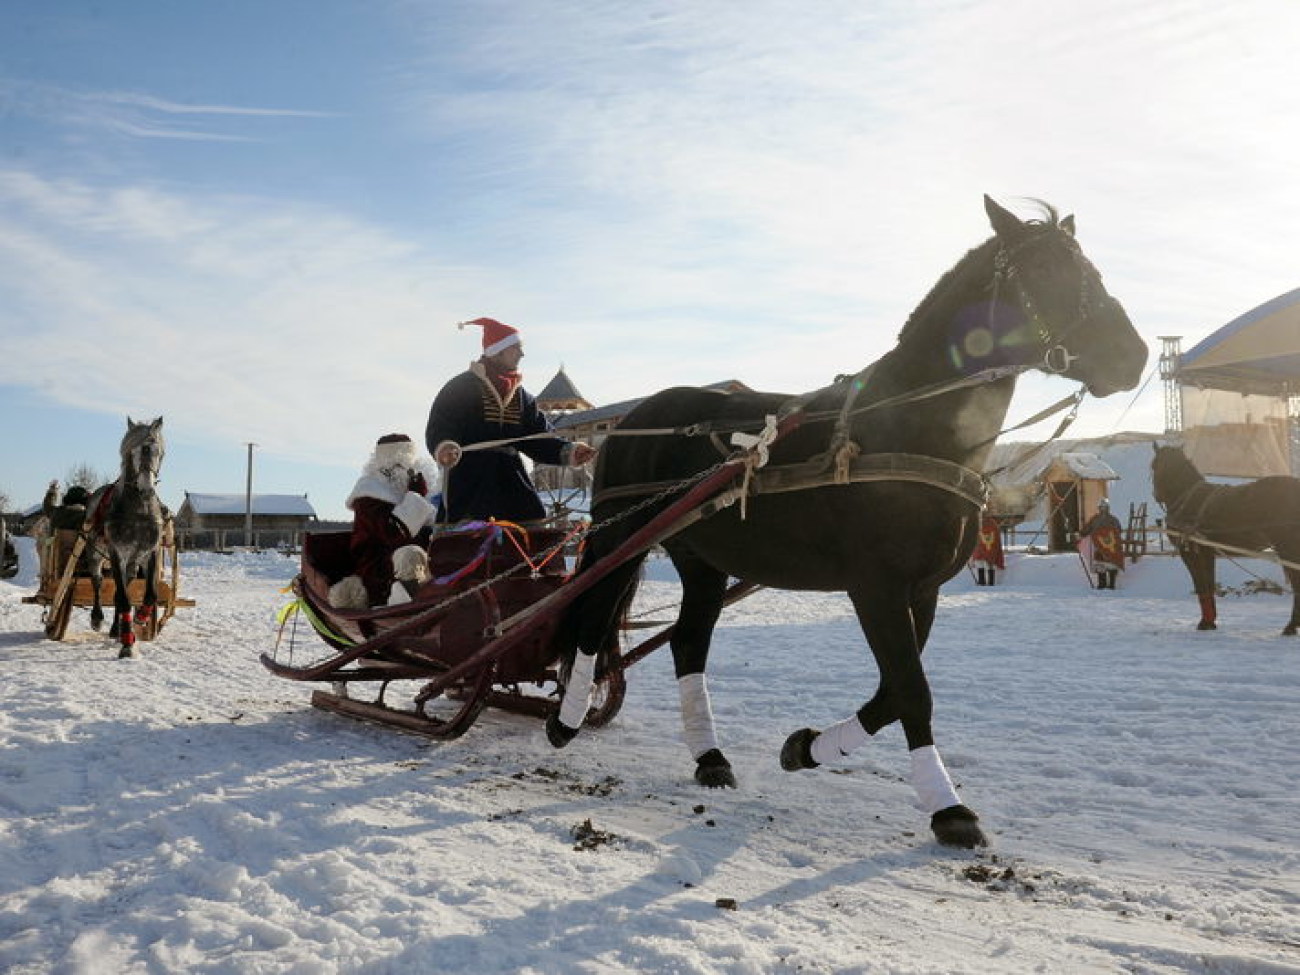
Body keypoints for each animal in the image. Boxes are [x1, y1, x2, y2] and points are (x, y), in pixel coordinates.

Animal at [87, 416, 167, 660]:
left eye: (160, 452)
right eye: (137, 450)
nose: (147, 488)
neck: (138, 510)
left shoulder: (150, 553)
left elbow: (149, 594)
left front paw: (140, 618)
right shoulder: (117, 554)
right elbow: (123, 599)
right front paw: (128, 645)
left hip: (132, 562)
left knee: (123, 585)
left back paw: (117, 628)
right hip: (95, 554)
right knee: (98, 581)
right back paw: (98, 619)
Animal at [548, 196, 1149, 847]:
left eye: (1089, 267)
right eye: (1044, 270)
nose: (1133, 354)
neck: (909, 426)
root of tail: (640, 415)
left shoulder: (922, 588)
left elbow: (894, 690)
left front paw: (808, 746)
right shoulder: (875, 584)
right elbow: (911, 688)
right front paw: (948, 807)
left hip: (700, 559)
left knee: (687, 642)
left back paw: (709, 757)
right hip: (620, 537)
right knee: (591, 620)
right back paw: (567, 718)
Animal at [1149, 447, 1300, 637]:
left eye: (1155, 465)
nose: (1157, 494)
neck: (1189, 500)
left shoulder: (1191, 552)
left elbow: (1202, 585)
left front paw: (1204, 623)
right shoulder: (1207, 552)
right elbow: (1208, 585)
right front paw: (1210, 621)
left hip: (1288, 548)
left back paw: (1291, 626)